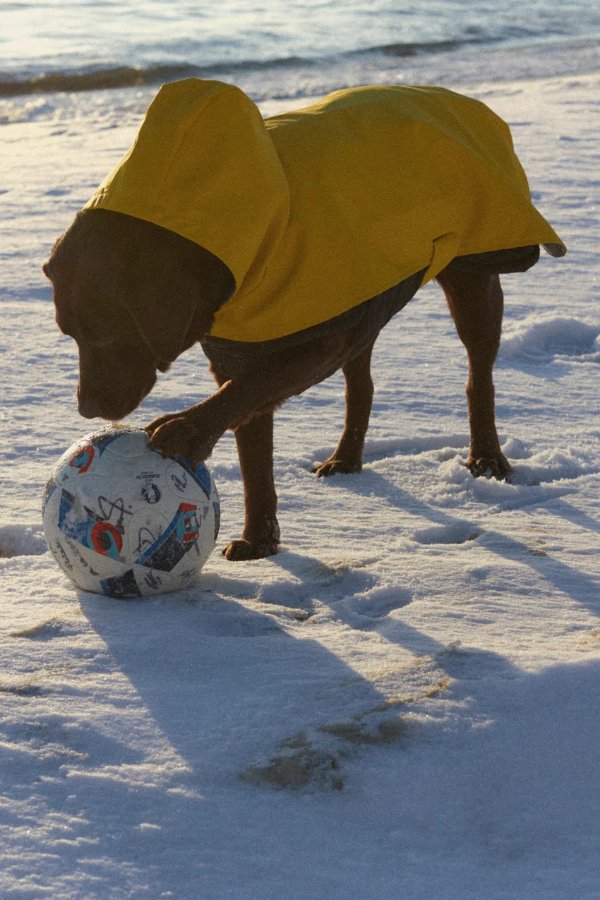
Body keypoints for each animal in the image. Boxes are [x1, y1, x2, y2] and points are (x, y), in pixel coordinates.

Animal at [44, 81, 564, 560]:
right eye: (71, 335)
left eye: (111, 336)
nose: (86, 409)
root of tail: (461, 99)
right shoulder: (242, 344)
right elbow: (252, 448)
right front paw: (260, 540)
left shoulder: (315, 338)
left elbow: (245, 393)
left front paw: (186, 429)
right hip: (368, 293)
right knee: (362, 381)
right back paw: (347, 457)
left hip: (471, 270)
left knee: (479, 372)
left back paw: (487, 456)